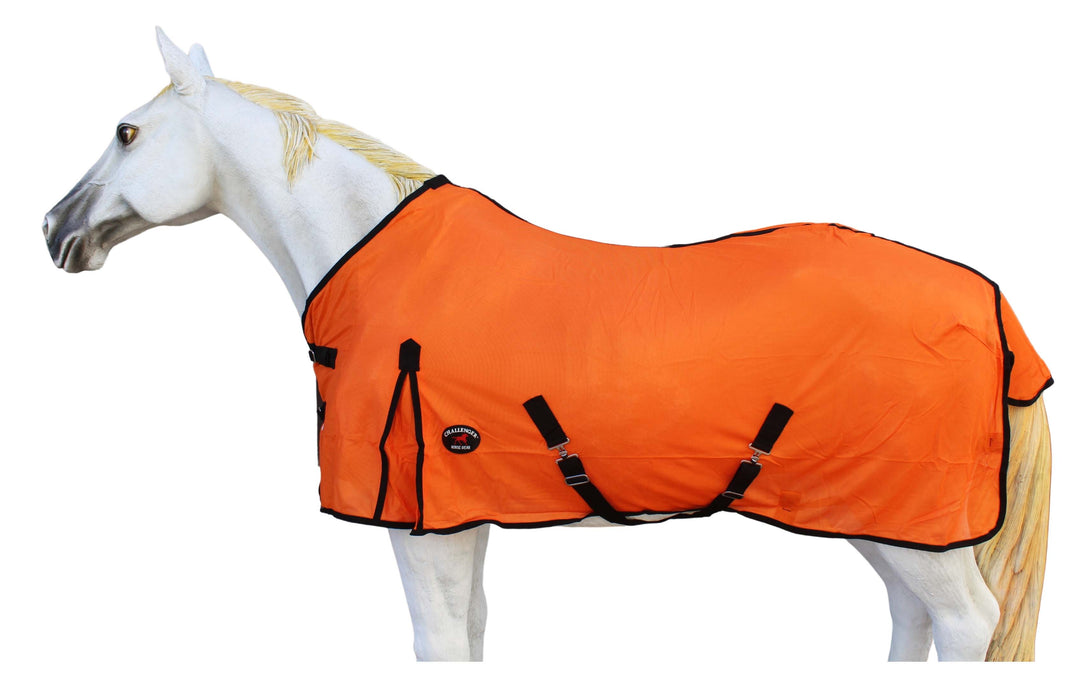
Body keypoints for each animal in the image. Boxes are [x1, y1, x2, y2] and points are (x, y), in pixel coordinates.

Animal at [41, 28, 1052, 662]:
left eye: (126, 131)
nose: (55, 229)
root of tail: (992, 306)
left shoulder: (419, 525)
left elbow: (439, 643)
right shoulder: (462, 516)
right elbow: (474, 633)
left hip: (915, 523)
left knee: (964, 625)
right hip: (875, 513)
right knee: (912, 619)